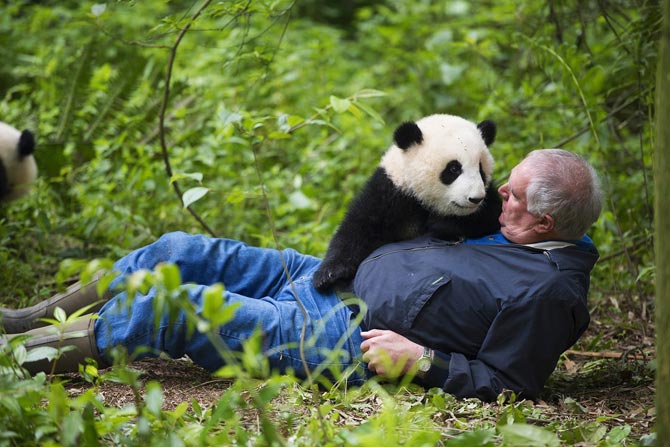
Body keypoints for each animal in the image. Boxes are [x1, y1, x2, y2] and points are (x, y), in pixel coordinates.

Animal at [316, 114, 504, 292]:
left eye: (480, 169)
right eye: (454, 168)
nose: (475, 198)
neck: (423, 201)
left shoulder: (488, 200)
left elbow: (490, 218)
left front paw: (442, 224)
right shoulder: (391, 192)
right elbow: (358, 228)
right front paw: (328, 274)